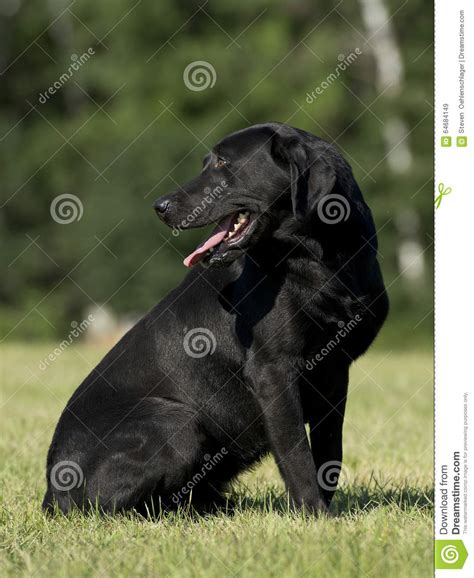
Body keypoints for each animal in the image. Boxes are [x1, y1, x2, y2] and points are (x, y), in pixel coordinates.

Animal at [42, 120, 386, 512]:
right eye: (207, 162)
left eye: (222, 162)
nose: (160, 206)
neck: (321, 262)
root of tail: (51, 491)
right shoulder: (273, 371)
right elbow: (297, 454)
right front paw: (316, 516)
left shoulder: (335, 372)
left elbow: (330, 453)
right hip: (176, 421)